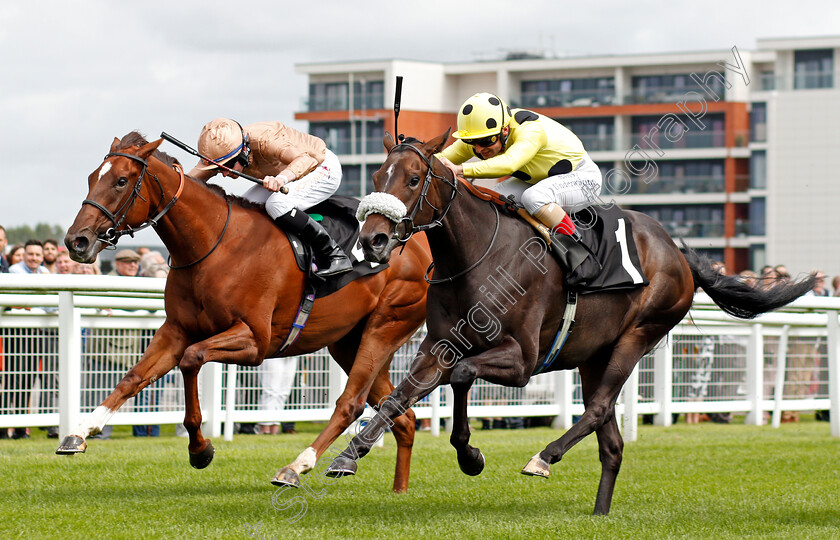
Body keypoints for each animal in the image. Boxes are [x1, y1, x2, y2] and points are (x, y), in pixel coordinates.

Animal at [57, 132, 434, 494]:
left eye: (121, 181)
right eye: (92, 178)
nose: (76, 241)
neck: (215, 244)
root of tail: (417, 247)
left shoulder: (255, 341)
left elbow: (192, 359)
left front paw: (200, 449)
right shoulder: (176, 330)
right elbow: (133, 377)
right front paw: (79, 432)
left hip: (385, 326)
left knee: (351, 403)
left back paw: (295, 468)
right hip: (348, 342)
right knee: (402, 416)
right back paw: (398, 489)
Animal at [324, 131, 816, 516]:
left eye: (412, 178)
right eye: (376, 179)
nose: (373, 240)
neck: (476, 256)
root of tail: (675, 249)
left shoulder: (522, 361)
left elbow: (461, 375)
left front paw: (470, 454)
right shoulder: (438, 346)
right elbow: (401, 396)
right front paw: (348, 455)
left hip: (639, 335)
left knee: (596, 410)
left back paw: (544, 457)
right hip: (594, 355)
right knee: (611, 440)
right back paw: (599, 512)